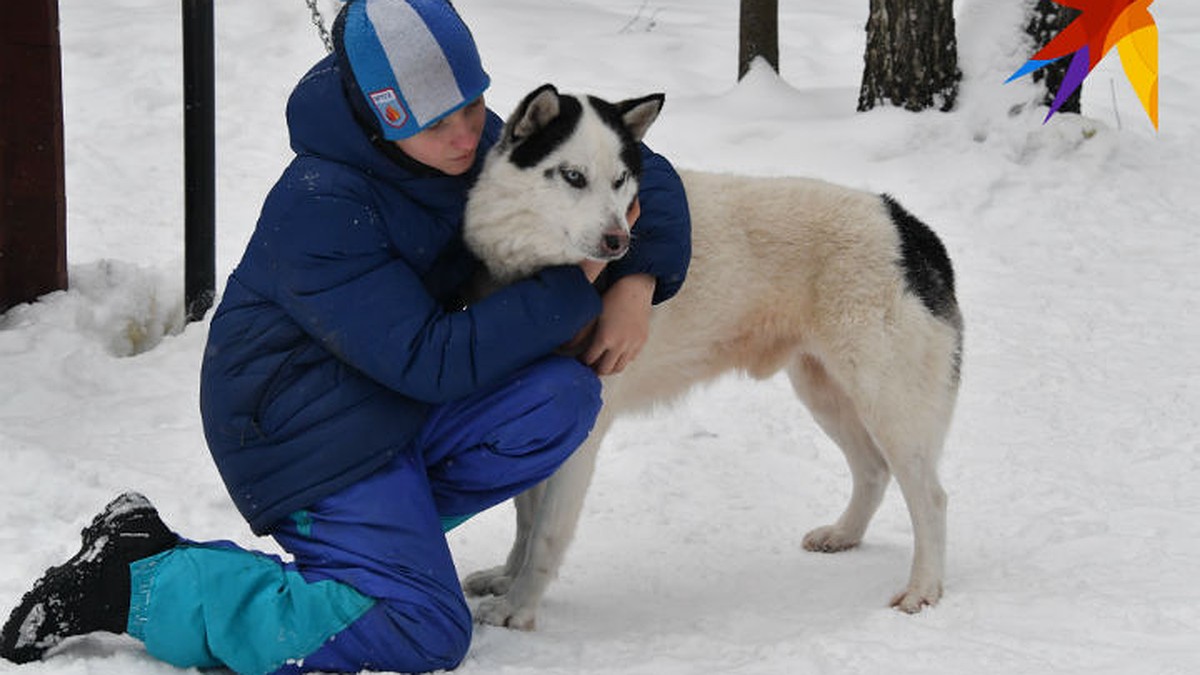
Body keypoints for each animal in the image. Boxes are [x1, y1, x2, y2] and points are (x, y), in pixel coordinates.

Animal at [458, 84, 964, 624]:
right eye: (573, 177)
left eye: (620, 181)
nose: (620, 241)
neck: (545, 273)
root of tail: (906, 225)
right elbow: (525, 517)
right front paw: (506, 578)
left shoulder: (583, 433)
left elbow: (545, 533)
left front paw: (518, 608)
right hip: (824, 393)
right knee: (873, 470)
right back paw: (844, 534)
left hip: (887, 403)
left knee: (931, 497)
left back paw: (923, 587)